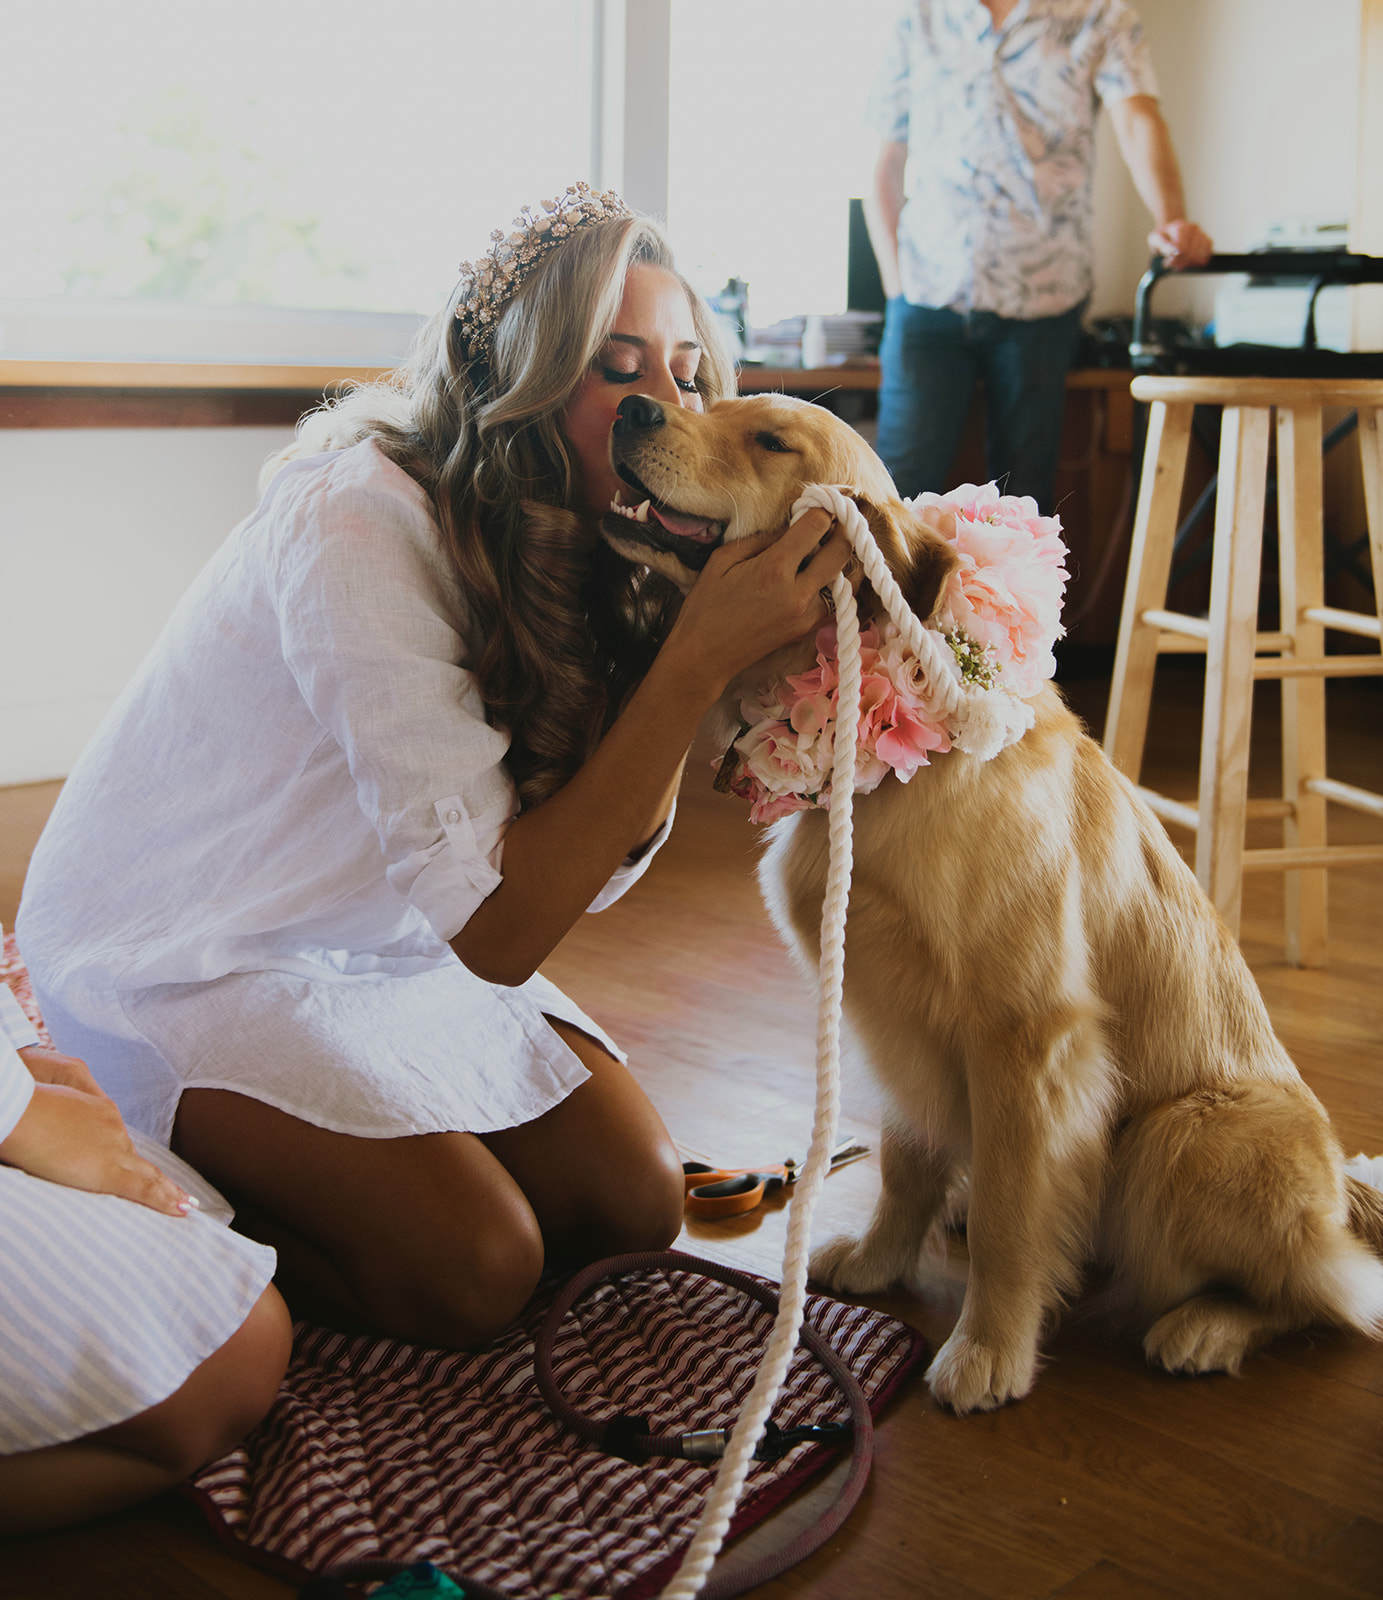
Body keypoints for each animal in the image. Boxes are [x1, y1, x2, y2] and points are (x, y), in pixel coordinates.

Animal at [601, 390, 1383, 1414]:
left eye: (769, 439)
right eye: (712, 399)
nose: (632, 403)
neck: (891, 779)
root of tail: (1344, 1191)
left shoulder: (1023, 1033)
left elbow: (1018, 1211)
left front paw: (988, 1349)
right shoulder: (889, 1015)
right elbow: (905, 1162)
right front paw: (884, 1260)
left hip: (1182, 1137)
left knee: (1328, 1292)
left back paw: (1206, 1326)